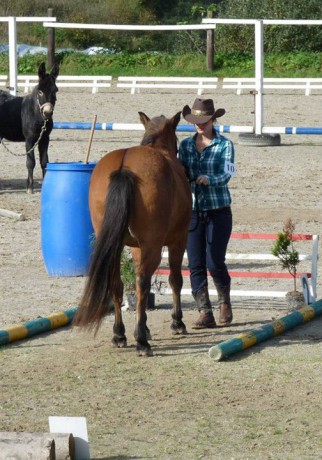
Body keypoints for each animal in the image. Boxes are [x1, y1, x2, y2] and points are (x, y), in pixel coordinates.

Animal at [73, 110, 191, 356]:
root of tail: (124, 167)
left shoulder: (136, 247)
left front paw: (143, 327)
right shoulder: (178, 239)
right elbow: (175, 280)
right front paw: (176, 322)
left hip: (115, 246)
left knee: (117, 283)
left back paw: (120, 334)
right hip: (153, 246)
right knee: (142, 283)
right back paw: (141, 342)